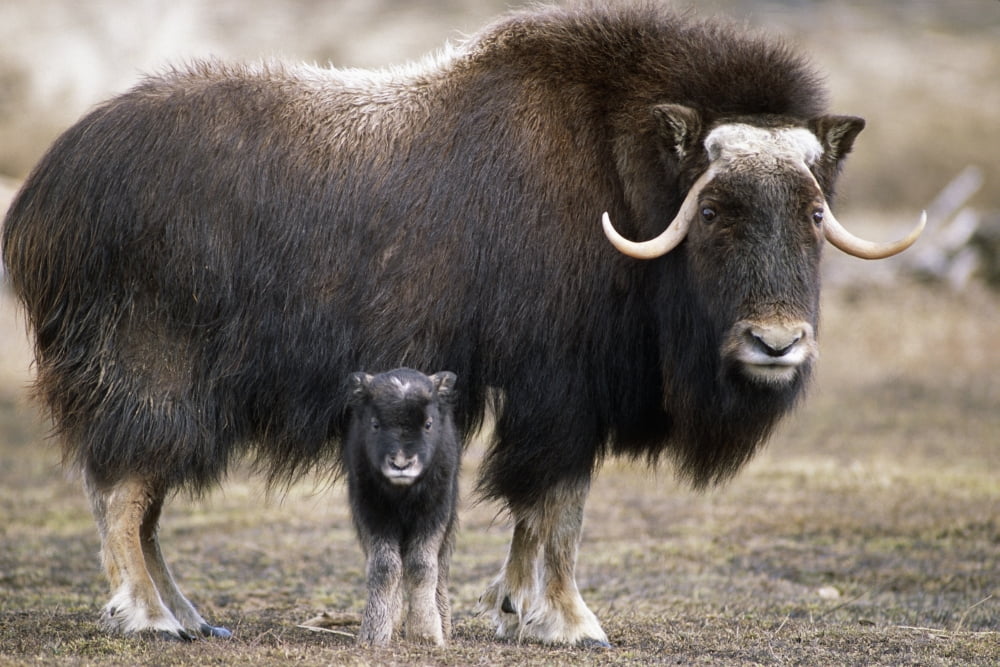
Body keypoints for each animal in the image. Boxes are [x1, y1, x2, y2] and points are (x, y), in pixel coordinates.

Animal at [344, 368, 460, 647]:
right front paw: (374, 634)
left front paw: (426, 633)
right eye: (375, 424)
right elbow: (384, 566)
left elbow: (422, 565)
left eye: (428, 424)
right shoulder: (373, 513)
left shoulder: (434, 513)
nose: (401, 464)